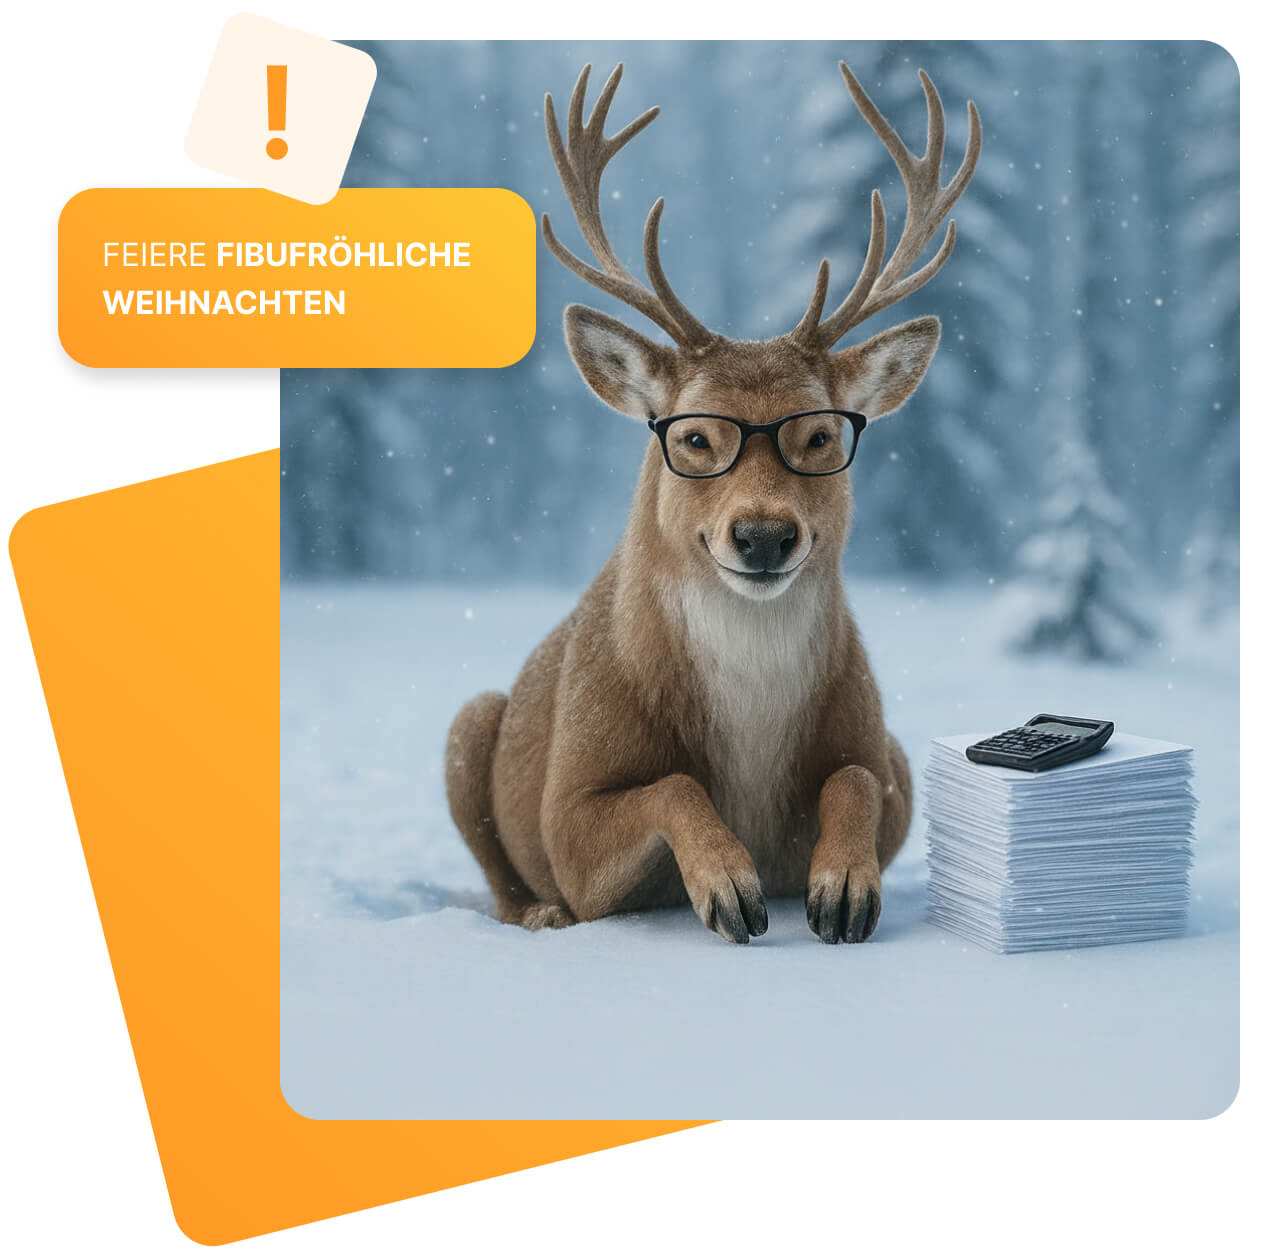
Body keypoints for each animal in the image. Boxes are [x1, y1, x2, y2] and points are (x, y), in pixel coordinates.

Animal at [446, 61, 980, 944]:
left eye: (820, 435)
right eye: (697, 437)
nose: (763, 535)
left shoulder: (885, 752)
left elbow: (855, 782)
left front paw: (843, 887)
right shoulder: (569, 808)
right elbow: (672, 785)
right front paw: (730, 885)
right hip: (471, 723)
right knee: (499, 878)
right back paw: (542, 916)